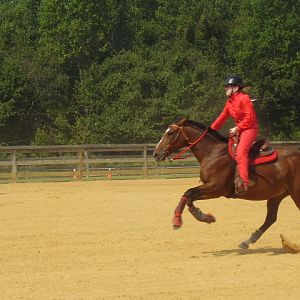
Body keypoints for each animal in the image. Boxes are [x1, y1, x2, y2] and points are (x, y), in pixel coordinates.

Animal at [154, 118, 298, 248]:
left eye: (171, 133)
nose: (156, 153)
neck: (213, 153)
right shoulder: (209, 188)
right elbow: (188, 195)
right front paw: (204, 217)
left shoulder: (215, 189)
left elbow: (188, 193)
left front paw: (178, 221)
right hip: (277, 195)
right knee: (270, 218)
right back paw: (247, 241)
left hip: (295, 193)